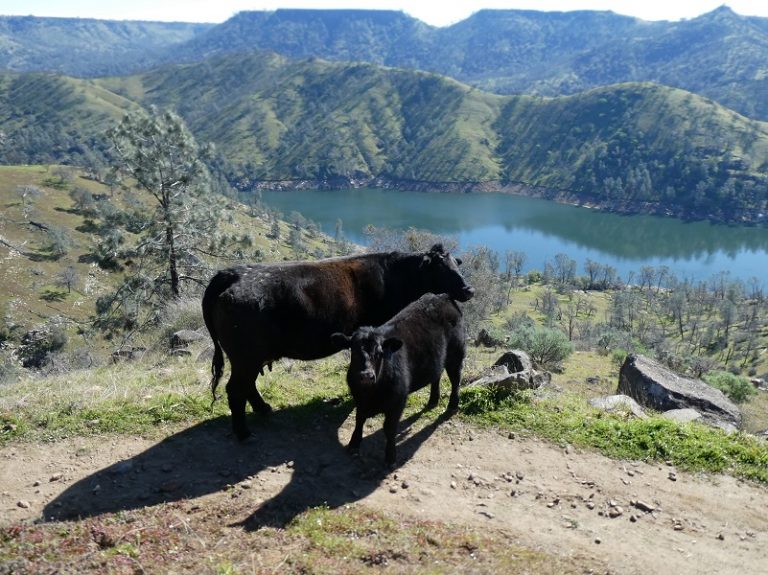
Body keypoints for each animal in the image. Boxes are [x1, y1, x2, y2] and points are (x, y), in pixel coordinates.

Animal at [202, 244, 474, 440]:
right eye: (441, 269)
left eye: (456, 265)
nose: (469, 290)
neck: (395, 277)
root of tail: (230, 274)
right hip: (245, 356)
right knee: (236, 389)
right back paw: (243, 433)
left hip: (249, 358)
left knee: (247, 386)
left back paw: (263, 409)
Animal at [331, 292, 466, 466]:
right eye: (353, 351)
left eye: (380, 353)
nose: (367, 375)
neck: (372, 393)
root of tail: (442, 296)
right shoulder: (359, 398)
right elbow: (359, 418)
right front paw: (354, 443)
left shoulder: (397, 401)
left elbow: (389, 428)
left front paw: (390, 457)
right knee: (436, 377)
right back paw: (432, 401)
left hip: (456, 355)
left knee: (456, 379)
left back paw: (452, 405)